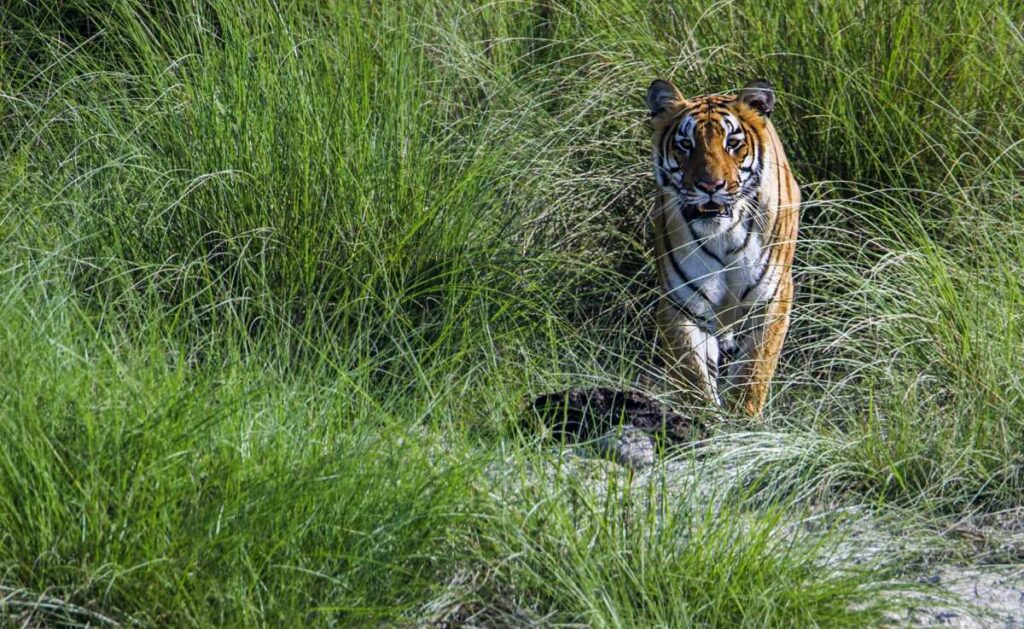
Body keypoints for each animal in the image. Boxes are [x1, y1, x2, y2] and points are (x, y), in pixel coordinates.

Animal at [647, 76, 798, 415]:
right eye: (685, 145)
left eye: (732, 143)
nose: (710, 186)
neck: (723, 236)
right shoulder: (683, 305)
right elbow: (693, 374)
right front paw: (704, 419)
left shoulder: (771, 298)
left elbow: (753, 372)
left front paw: (744, 420)